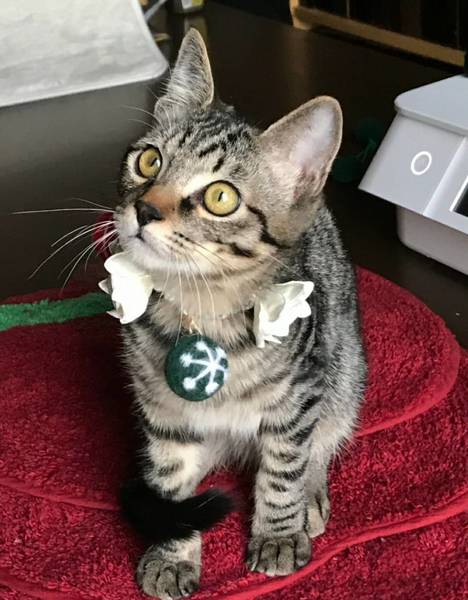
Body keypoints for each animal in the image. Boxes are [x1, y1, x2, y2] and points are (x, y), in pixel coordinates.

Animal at [115, 29, 366, 600]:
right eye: (149, 162)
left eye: (220, 196)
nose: (145, 209)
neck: (201, 306)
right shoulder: (162, 411)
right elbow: (170, 476)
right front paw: (172, 550)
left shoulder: (297, 397)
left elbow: (284, 468)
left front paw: (278, 534)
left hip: (344, 372)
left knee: (322, 440)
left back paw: (310, 499)